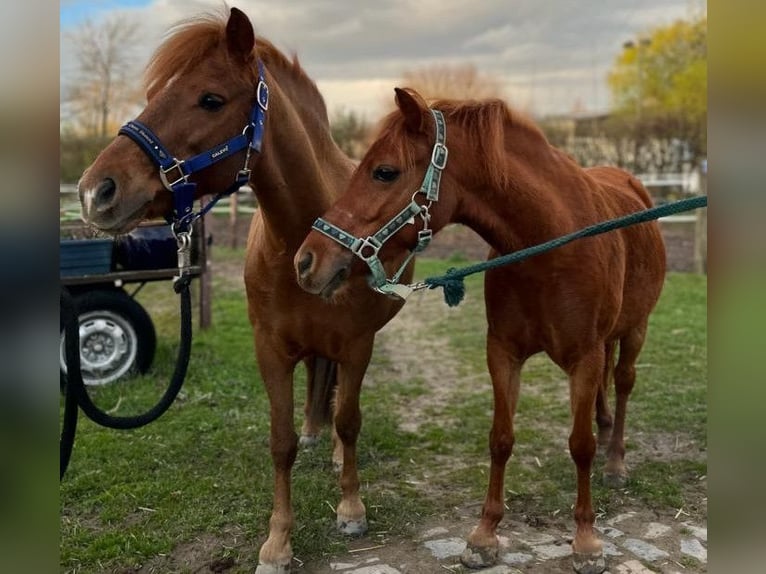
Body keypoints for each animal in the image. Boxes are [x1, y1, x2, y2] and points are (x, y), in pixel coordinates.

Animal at [78, 9, 414, 574]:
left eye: (210, 99)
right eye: (152, 94)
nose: (95, 190)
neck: (302, 236)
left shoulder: (357, 343)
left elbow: (349, 420)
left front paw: (351, 508)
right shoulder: (270, 348)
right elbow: (281, 442)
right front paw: (277, 543)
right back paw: (314, 430)